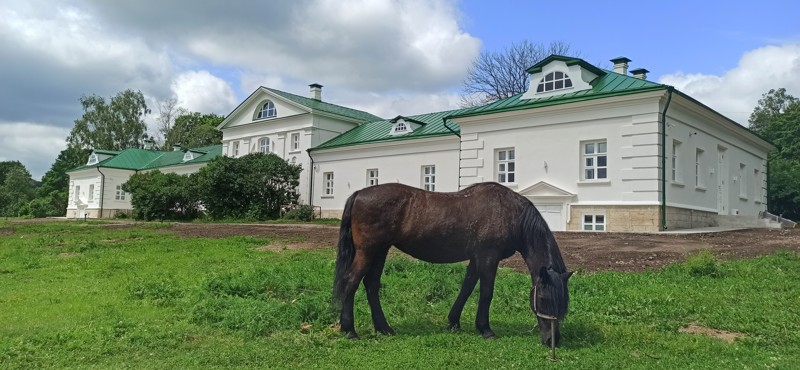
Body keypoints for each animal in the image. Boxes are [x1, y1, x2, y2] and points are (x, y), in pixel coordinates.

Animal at [332, 182, 576, 346]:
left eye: (563, 303)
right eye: (543, 299)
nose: (552, 341)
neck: (508, 212)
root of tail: (359, 194)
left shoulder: (476, 259)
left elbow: (466, 288)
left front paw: (454, 322)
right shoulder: (488, 257)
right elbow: (486, 292)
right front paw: (485, 329)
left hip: (380, 251)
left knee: (371, 285)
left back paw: (383, 328)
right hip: (368, 251)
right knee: (351, 283)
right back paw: (350, 330)